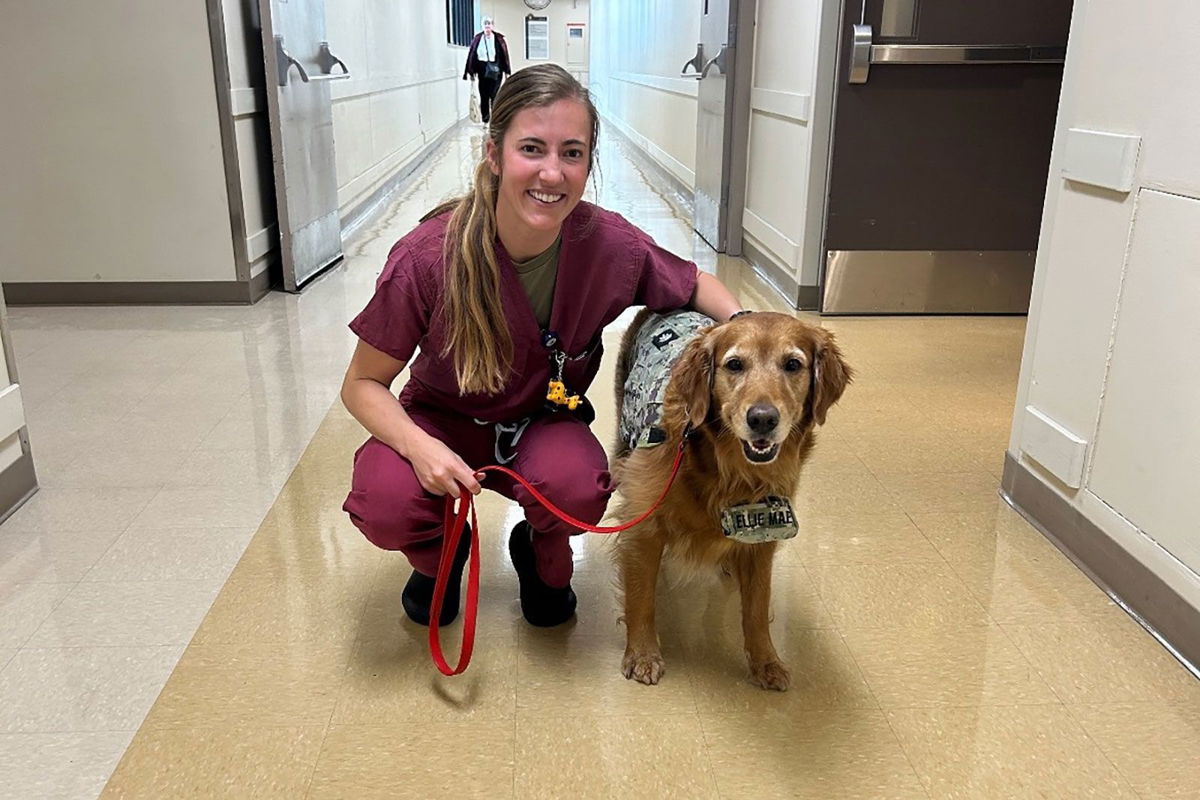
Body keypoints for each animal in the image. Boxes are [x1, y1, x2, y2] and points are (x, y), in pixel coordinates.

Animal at [609, 309, 854, 690]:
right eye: (735, 364)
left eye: (793, 364)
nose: (762, 419)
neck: (732, 472)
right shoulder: (644, 521)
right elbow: (641, 596)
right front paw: (643, 654)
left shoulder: (766, 533)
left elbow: (756, 607)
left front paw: (766, 661)